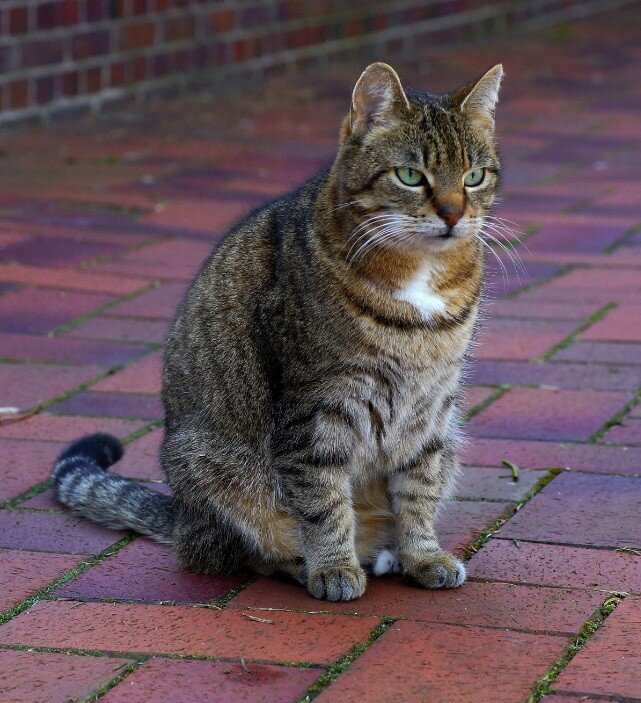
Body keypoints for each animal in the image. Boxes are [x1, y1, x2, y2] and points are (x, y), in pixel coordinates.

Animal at [52, 60, 502, 604]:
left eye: (474, 177)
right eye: (411, 176)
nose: (455, 215)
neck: (420, 279)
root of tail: (182, 517)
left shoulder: (431, 409)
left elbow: (419, 488)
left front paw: (423, 555)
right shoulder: (315, 408)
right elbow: (323, 500)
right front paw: (333, 566)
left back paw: (387, 553)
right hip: (216, 471)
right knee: (244, 551)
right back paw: (314, 563)